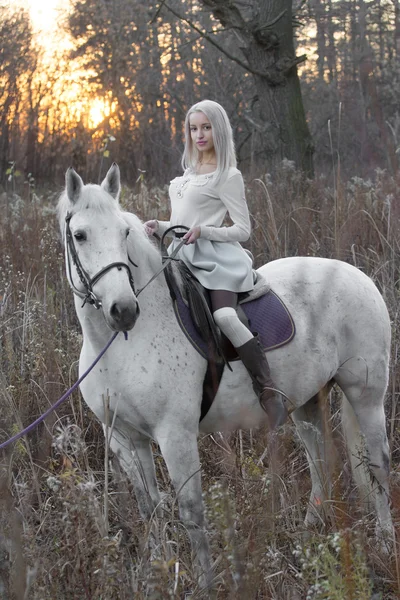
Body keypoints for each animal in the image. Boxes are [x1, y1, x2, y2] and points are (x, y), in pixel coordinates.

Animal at [57, 164, 394, 584]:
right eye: (80, 235)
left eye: (124, 233)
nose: (124, 310)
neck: (119, 345)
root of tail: (359, 276)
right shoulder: (124, 437)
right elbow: (150, 508)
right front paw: (159, 574)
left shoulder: (175, 436)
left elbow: (191, 512)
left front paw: (206, 582)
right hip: (307, 402)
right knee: (320, 462)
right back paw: (307, 534)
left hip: (366, 396)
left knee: (379, 463)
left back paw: (384, 542)